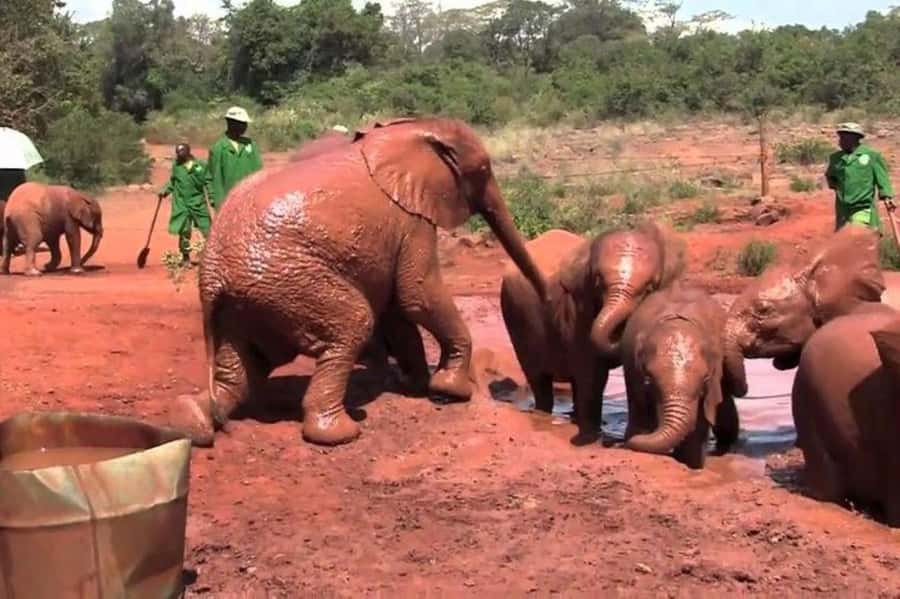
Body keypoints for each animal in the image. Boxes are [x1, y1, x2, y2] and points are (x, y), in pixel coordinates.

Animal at [171, 117, 549, 447]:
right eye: (483, 171)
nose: (546, 298)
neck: (410, 128)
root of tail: (212, 275)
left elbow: (399, 309)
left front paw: (413, 385)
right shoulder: (411, 218)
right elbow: (416, 293)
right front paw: (451, 390)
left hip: (245, 303)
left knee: (242, 369)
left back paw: (194, 422)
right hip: (288, 282)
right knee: (352, 324)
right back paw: (342, 432)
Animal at [499, 222, 685, 442]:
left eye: (649, 288)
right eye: (598, 281)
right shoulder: (579, 307)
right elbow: (592, 370)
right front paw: (593, 435)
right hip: (516, 318)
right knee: (539, 379)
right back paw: (545, 415)